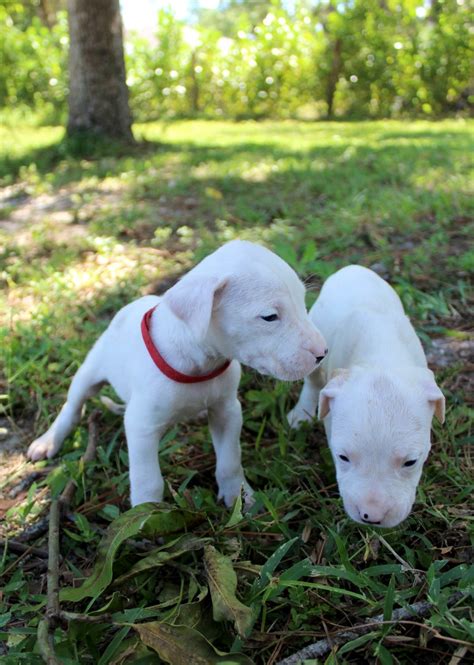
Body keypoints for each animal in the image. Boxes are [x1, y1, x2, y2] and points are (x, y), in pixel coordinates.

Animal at [27, 241, 328, 506]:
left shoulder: (228, 412)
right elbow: (148, 480)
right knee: (72, 406)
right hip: (90, 371)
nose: (323, 353)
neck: (198, 365)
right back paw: (48, 440)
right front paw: (147, 514)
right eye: (269, 317)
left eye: (303, 302)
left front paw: (240, 497)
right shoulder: (141, 427)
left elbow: (230, 461)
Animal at [286, 262, 446, 528]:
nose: (372, 516)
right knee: (313, 380)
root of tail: (352, 268)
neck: (380, 356)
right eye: (342, 457)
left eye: (411, 462)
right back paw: (302, 413)